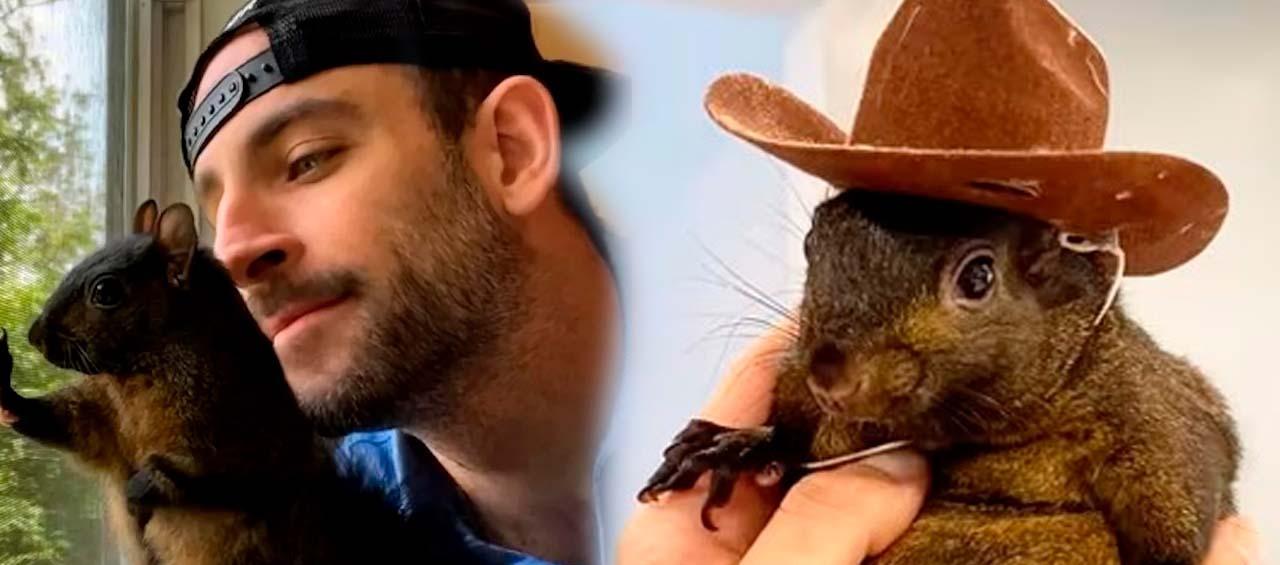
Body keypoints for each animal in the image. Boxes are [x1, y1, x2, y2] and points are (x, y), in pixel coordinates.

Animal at [0, 200, 465, 565]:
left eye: (106, 292)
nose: (34, 335)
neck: (137, 372)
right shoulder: (105, 412)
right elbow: (71, 422)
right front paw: (9, 394)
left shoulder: (231, 427)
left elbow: (209, 471)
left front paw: (144, 487)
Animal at [638, 189, 1240, 564]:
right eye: (812, 245)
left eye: (978, 277)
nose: (829, 377)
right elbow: (795, 439)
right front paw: (732, 447)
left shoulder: (1158, 428)